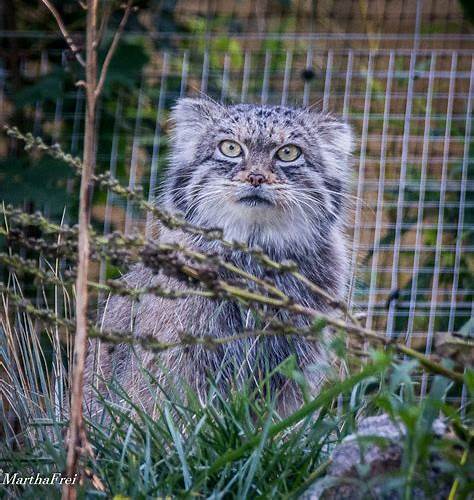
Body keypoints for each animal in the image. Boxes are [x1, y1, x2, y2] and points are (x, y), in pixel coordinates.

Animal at [84, 98, 352, 418]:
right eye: (230, 148)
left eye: (288, 152)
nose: (256, 177)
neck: (253, 255)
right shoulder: (180, 359)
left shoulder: (293, 362)